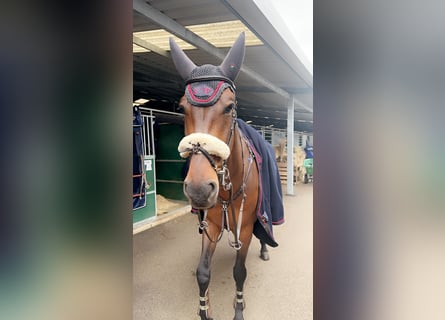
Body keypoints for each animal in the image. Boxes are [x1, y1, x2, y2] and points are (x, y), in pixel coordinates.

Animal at [170, 31, 272, 318]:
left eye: (229, 107)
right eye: (182, 108)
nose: (199, 189)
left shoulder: (245, 227)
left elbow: (239, 272)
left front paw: (238, 308)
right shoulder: (212, 225)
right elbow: (203, 273)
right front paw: (204, 310)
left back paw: (264, 250)